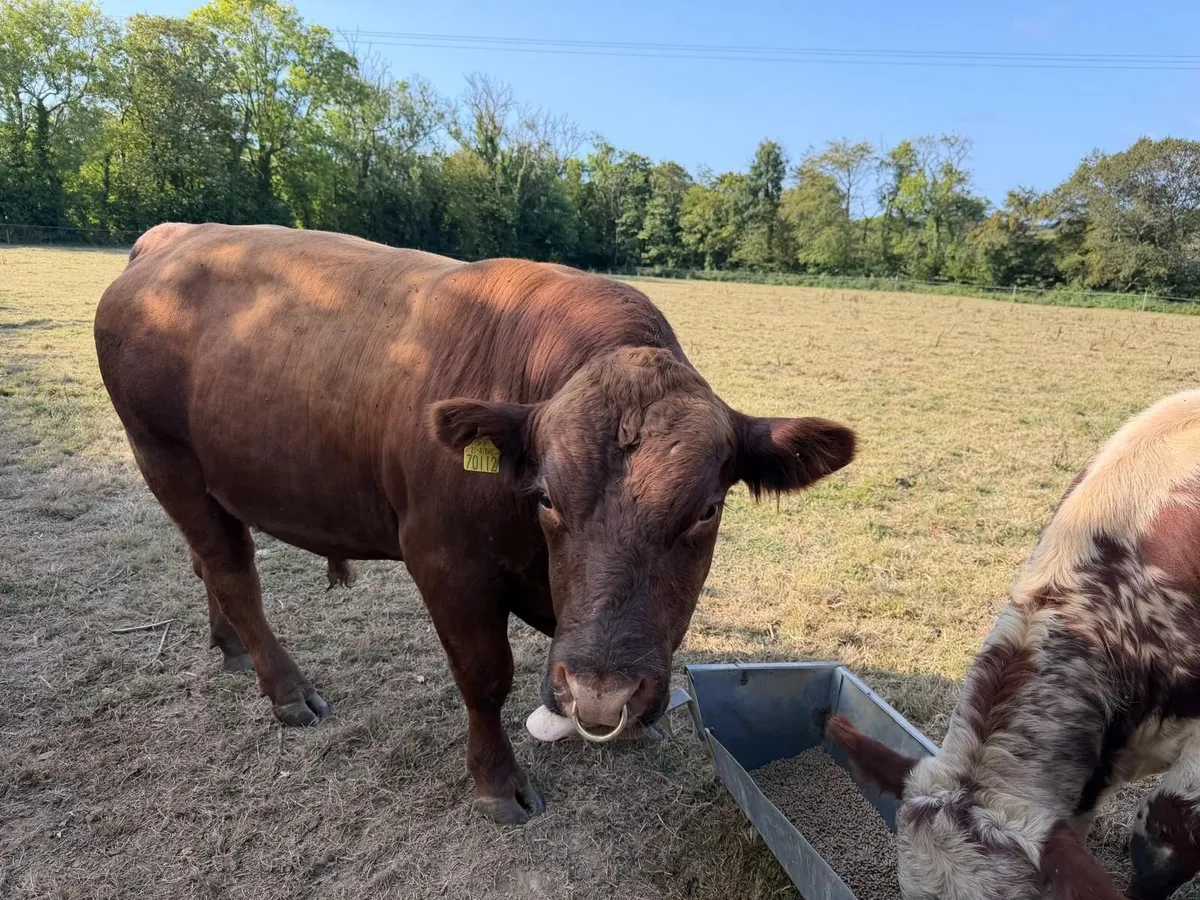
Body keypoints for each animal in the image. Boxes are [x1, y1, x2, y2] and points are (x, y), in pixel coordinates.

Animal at [94, 223, 856, 824]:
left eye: (707, 508)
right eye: (546, 496)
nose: (601, 695)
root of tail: (170, 238)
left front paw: (631, 726)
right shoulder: (444, 562)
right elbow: (485, 676)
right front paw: (496, 783)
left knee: (206, 560)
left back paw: (228, 646)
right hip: (164, 456)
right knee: (233, 572)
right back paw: (286, 691)